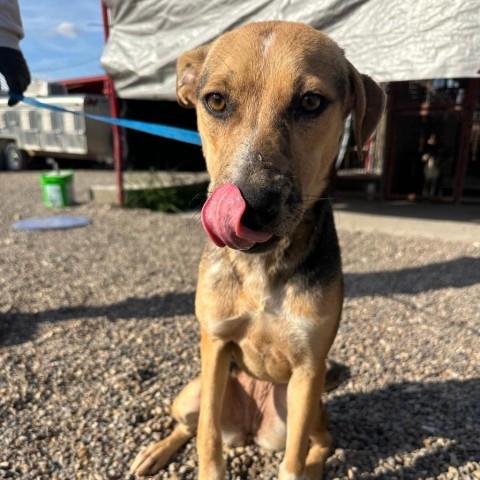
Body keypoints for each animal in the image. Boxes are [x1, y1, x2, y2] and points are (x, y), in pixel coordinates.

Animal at [129, 20, 384, 478]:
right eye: (215, 101)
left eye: (311, 102)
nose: (252, 206)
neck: (262, 265)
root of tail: (249, 430)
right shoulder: (214, 346)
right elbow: (206, 436)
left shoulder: (308, 367)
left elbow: (292, 460)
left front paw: (301, 469)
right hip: (193, 390)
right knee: (188, 425)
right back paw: (154, 453)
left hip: (304, 405)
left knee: (322, 442)